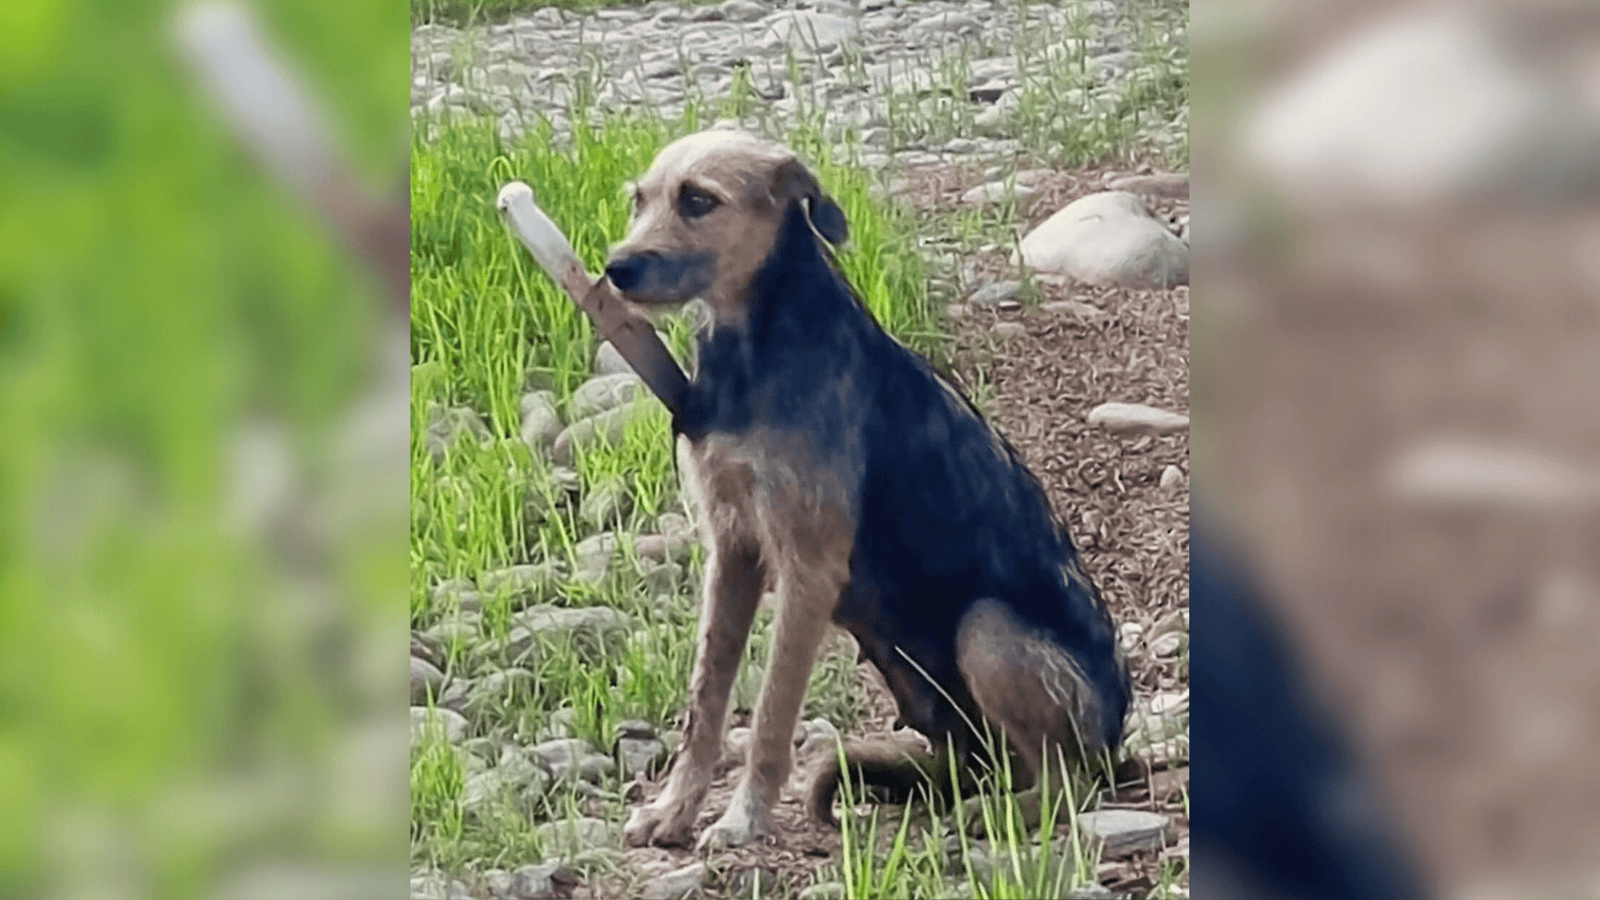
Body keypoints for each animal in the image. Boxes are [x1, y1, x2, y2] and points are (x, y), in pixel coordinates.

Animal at [602, 128, 1132, 851]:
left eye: (698, 200)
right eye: (639, 199)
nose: (615, 268)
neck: (756, 347)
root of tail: (1120, 739)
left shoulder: (809, 568)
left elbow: (771, 714)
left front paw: (745, 817)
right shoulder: (733, 549)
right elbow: (705, 700)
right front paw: (675, 809)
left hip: (989, 632)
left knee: (1068, 783)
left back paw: (996, 813)